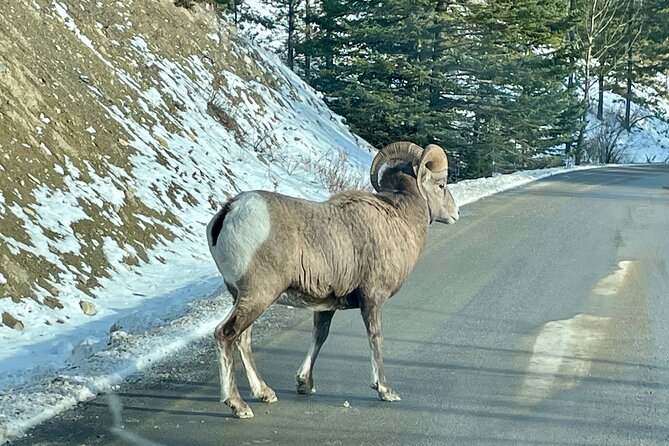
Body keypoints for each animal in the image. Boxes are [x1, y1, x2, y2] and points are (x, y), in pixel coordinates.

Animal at [207, 142, 460, 418]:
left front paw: (304, 384)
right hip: (258, 295)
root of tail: (230, 210)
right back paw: (238, 405)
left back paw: (265, 393)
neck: (398, 219)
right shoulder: (372, 298)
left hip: (243, 297)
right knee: (225, 334)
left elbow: (320, 335)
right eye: (441, 185)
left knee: (243, 339)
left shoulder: (326, 305)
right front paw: (385, 390)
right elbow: (375, 338)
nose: (456, 213)